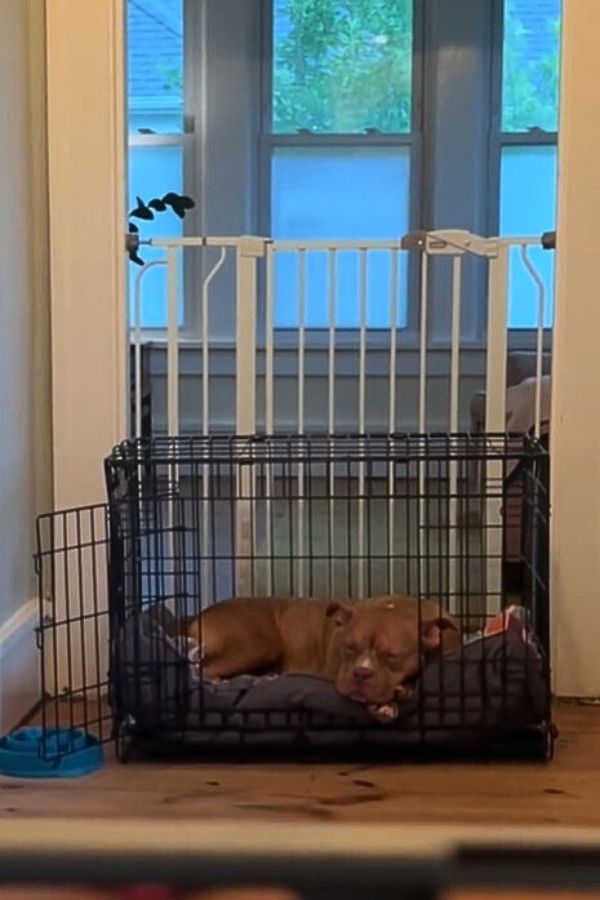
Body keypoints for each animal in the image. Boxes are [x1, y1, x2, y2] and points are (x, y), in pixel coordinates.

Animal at [183, 592, 460, 712]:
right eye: (348, 648)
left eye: (392, 656)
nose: (361, 673)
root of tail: (200, 615)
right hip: (257, 645)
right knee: (202, 668)